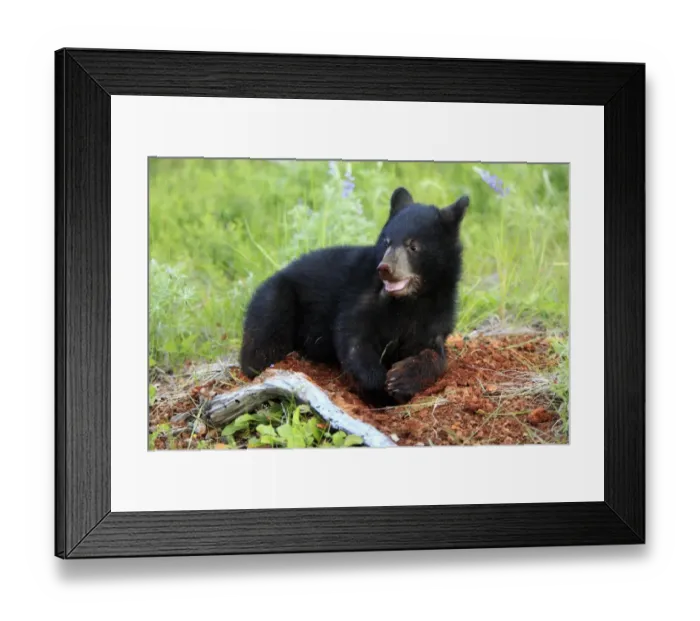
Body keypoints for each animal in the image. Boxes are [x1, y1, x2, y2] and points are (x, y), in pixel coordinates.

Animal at [239, 187, 470, 406]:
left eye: (413, 246)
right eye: (386, 242)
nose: (385, 268)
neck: (409, 300)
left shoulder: (437, 310)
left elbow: (434, 352)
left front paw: (402, 378)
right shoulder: (361, 294)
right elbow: (353, 338)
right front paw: (381, 389)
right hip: (275, 298)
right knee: (262, 343)